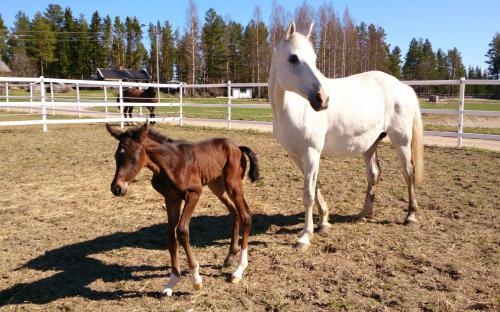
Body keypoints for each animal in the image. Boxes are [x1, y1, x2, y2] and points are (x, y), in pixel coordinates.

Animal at [107, 122, 260, 294]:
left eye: (133, 158)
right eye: (116, 156)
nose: (116, 188)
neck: (170, 163)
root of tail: (238, 147)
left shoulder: (194, 193)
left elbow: (181, 230)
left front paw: (196, 278)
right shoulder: (171, 198)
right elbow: (171, 236)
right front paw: (172, 281)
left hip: (233, 184)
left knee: (246, 215)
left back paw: (238, 271)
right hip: (217, 186)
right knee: (234, 212)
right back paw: (229, 258)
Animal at [270, 22, 426, 250]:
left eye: (314, 59)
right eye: (293, 58)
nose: (323, 100)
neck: (294, 108)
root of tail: (402, 86)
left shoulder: (311, 153)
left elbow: (308, 194)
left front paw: (305, 236)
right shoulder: (296, 155)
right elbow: (316, 186)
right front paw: (324, 222)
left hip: (402, 141)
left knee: (408, 173)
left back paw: (411, 216)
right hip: (370, 145)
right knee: (374, 174)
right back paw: (364, 214)